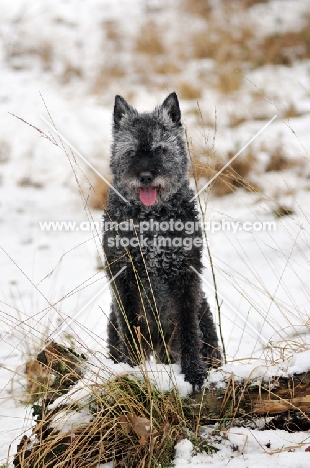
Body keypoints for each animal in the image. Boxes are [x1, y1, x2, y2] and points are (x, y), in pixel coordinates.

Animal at [103, 92, 222, 392]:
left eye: (160, 149)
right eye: (131, 151)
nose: (146, 176)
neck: (151, 222)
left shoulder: (186, 276)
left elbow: (188, 330)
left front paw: (193, 372)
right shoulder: (123, 277)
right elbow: (130, 328)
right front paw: (132, 372)